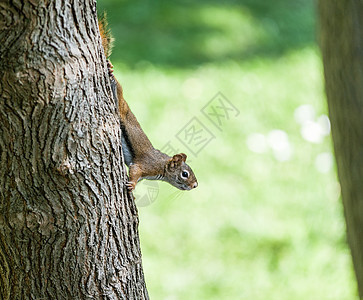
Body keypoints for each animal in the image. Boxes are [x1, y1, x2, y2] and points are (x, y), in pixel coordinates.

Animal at [98, 15, 199, 191]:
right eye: (185, 174)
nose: (195, 185)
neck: (162, 166)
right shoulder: (146, 165)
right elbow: (135, 170)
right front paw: (131, 185)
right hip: (119, 102)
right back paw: (110, 70)